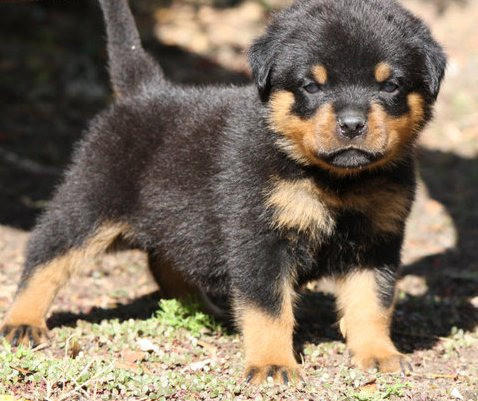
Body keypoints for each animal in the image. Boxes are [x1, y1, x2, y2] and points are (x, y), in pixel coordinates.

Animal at [1, 0, 446, 382]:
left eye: (390, 86)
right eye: (311, 86)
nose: (352, 124)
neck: (335, 180)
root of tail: (145, 92)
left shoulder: (377, 241)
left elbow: (372, 303)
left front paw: (379, 354)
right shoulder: (259, 239)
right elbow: (269, 309)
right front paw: (272, 364)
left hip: (179, 218)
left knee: (166, 261)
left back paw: (207, 309)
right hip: (91, 201)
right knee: (46, 255)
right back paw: (23, 322)